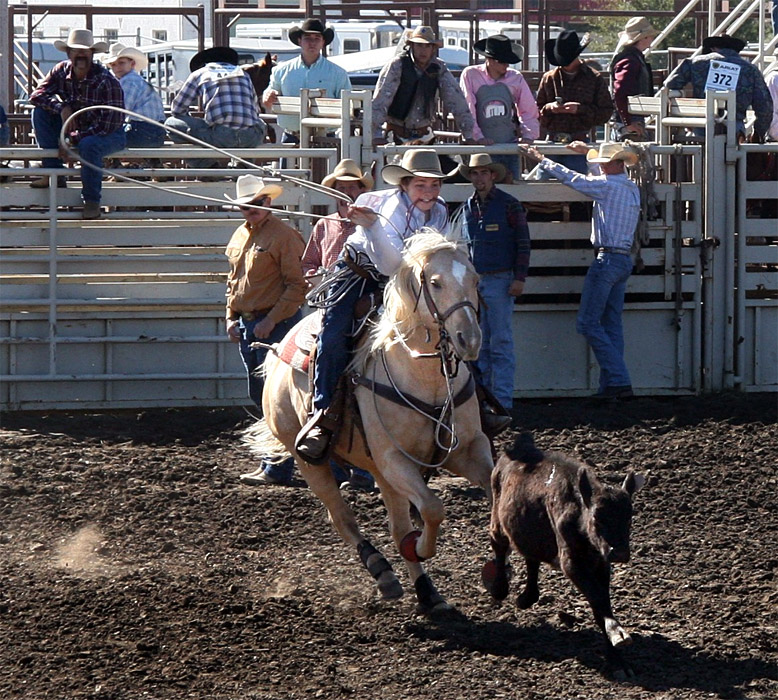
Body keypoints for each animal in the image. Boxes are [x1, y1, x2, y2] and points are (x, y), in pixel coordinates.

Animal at [249, 231, 492, 612]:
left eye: (475, 280)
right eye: (435, 283)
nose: (470, 339)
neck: (426, 379)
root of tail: (277, 350)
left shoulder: (467, 450)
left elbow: (494, 492)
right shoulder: (394, 459)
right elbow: (433, 509)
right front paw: (420, 547)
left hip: (379, 470)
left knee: (393, 524)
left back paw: (427, 593)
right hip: (310, 460)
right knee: (342, 517)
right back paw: (385, 572)